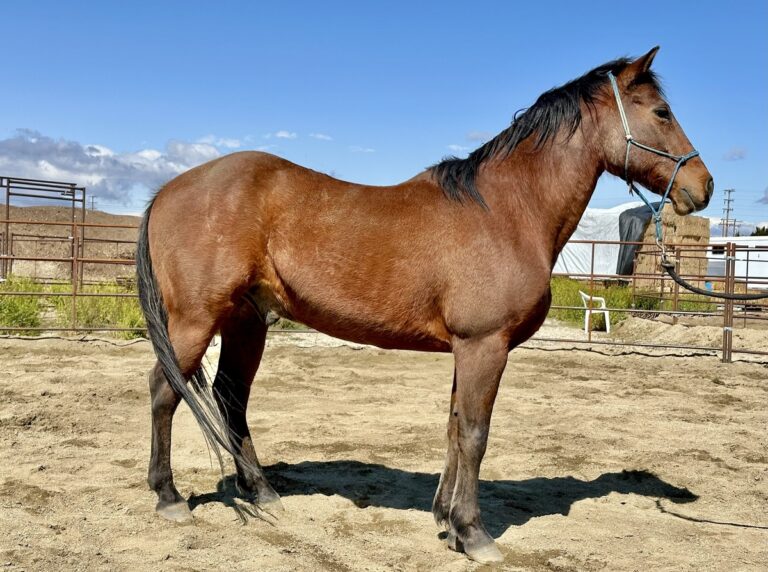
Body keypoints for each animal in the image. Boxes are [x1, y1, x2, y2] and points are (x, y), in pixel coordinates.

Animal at [136, 47, 713, 563]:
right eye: (662, 112)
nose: (702, 186)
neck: (508, 211)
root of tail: (168, 190)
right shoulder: (485, 345)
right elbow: (475, 434)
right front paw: (474, 534)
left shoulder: (469, 349)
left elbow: (455, 427)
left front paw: (447, 521)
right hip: (195, 321)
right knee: (165, 390)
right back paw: (169, 497)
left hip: (246, 322)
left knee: (231, 396)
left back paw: (261, 491)